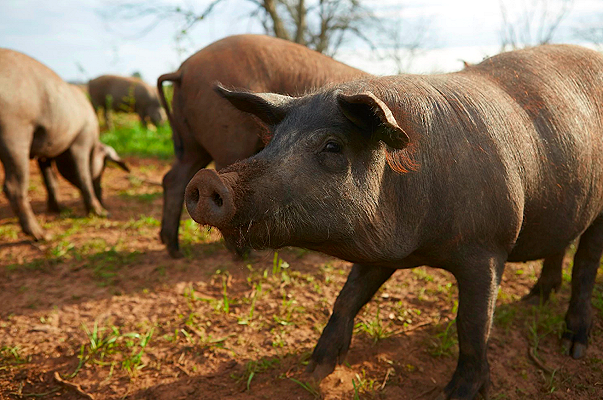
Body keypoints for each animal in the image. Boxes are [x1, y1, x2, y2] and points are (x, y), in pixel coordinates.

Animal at [0, 47, 129, 241]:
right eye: (104, 166)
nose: (102, 198)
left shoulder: (45, 150)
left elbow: (50, 180)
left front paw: (58, 209)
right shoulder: (81, 140)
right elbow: (83, 175)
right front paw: (102, 213)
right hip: (14, 133)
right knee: (13, 186)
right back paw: (42, 235)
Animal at [156, 35, 368, 260]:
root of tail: (183, 69)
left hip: (191, 142)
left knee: (174, 179)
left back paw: (175, 250)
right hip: (229, 140)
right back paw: (245, 255)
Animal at [183, 44, 603, 400]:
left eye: (332, 145)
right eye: (271, 143)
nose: (208, 180)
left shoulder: (488, 246)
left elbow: (472, 322)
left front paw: (457, 393)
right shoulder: (380, 251)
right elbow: (348, 296)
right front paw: (314, 370)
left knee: (585, 265)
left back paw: (574, 345)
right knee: (562, 244)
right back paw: (536, 299)